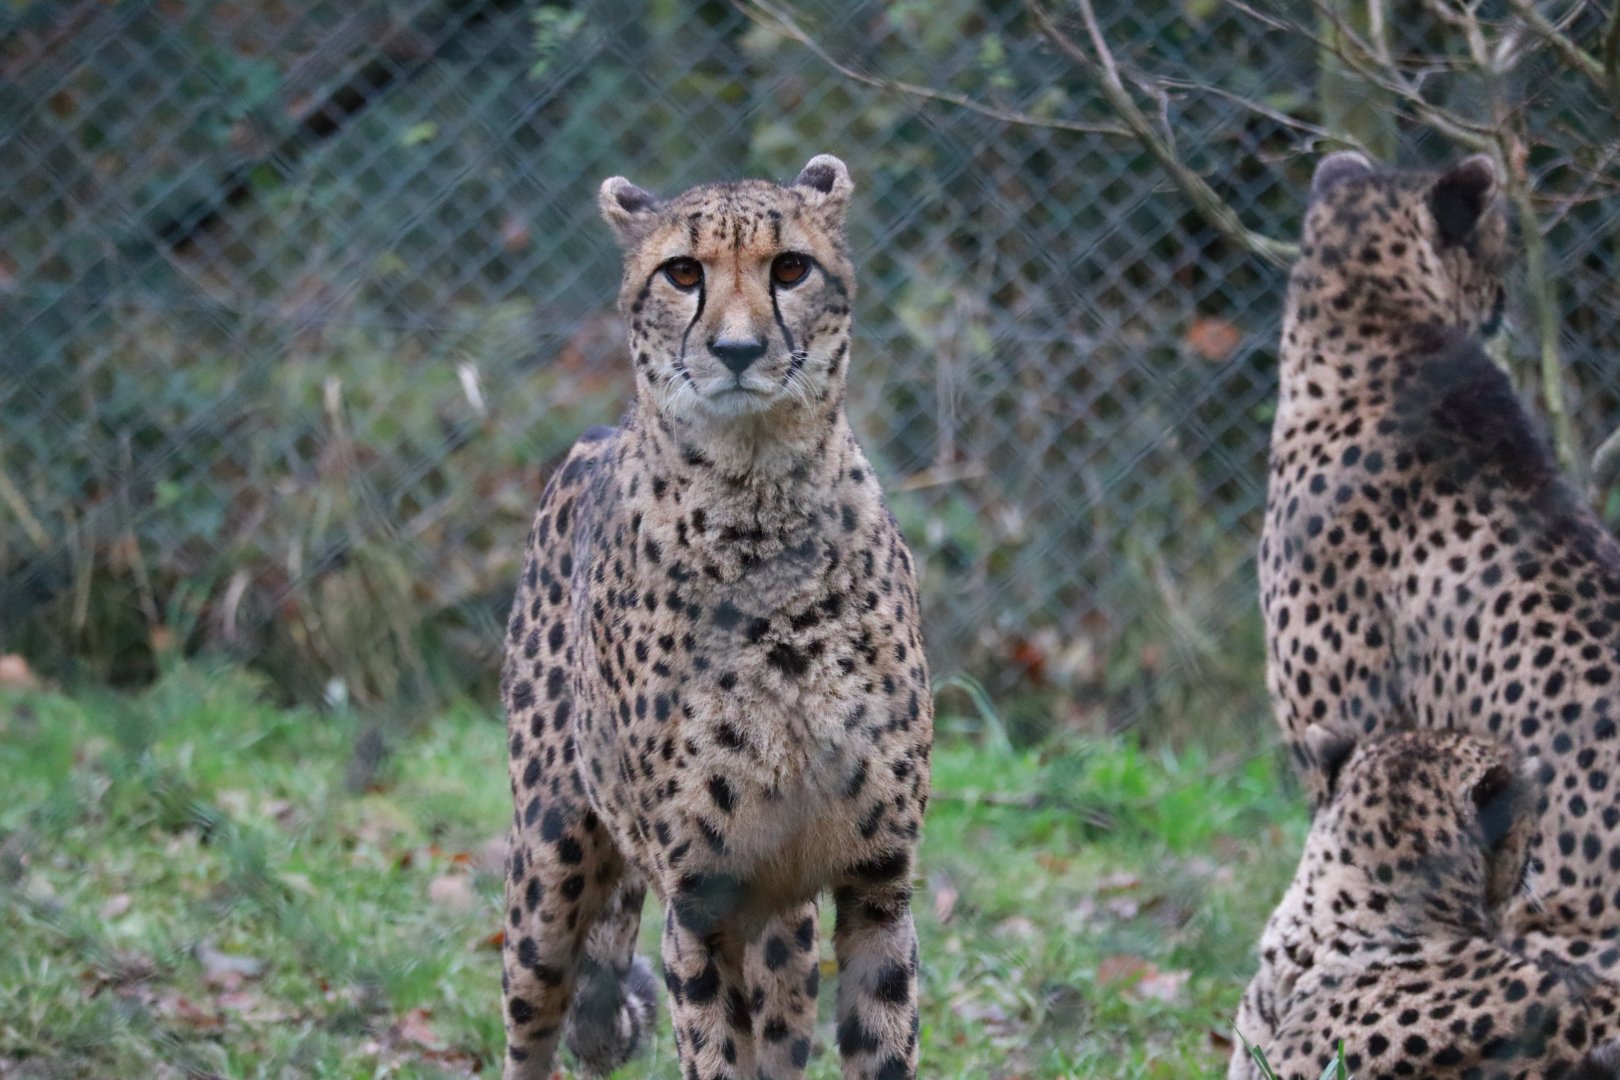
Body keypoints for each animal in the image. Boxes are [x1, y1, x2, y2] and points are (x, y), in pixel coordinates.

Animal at [497, 154, 933, 1080]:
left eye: (791, 268)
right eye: (683, 273)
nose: (738, 351)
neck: (759, 503)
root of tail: (597, 431)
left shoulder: (876, 880)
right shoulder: (699, 898)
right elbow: (712, 1048)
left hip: (787, 926)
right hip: (548, 863)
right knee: (532, 1022)